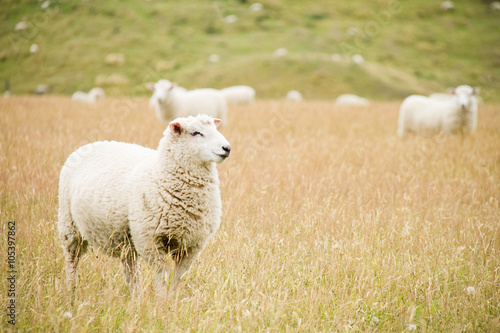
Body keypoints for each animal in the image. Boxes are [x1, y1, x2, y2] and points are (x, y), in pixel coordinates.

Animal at [56, 113, 230, 294]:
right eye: (196, 133)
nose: (227, 148)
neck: (160, 173)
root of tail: (88, 145)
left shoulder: (192, 244)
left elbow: (178, 277)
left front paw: (174, 298)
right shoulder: (149, 240)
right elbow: (162, 275)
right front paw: (162, 299)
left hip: (124, 238)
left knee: (130, 269)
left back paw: (136, 296)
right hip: (69, 225)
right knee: (72, 260)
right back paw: (71, 289)